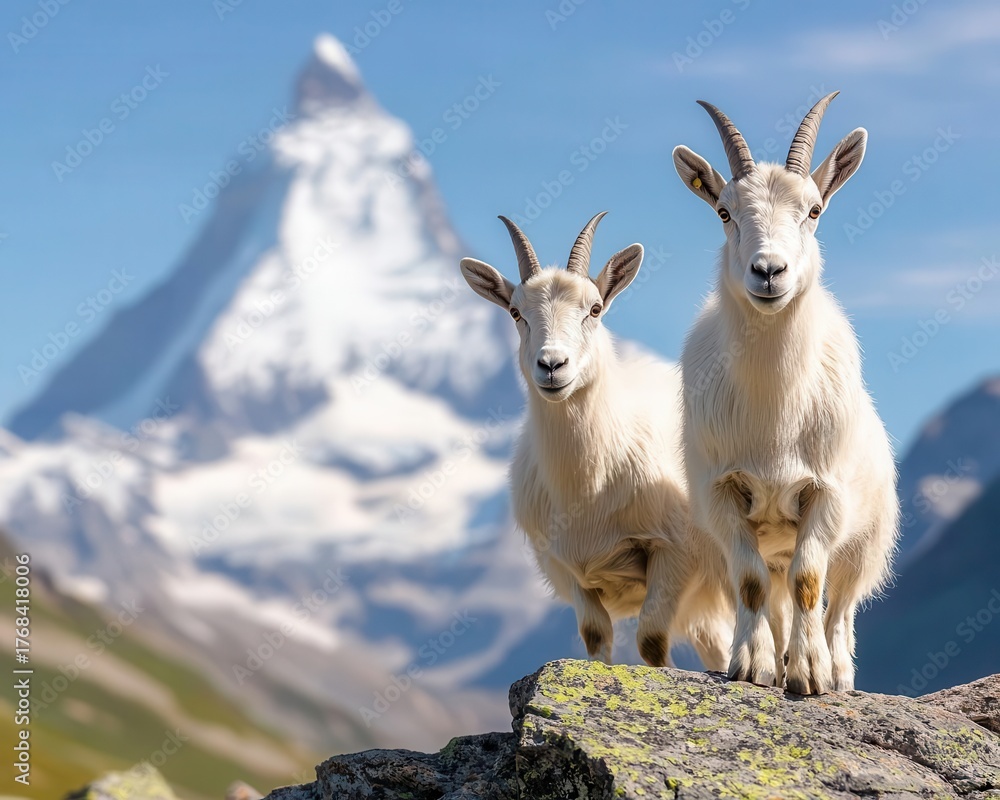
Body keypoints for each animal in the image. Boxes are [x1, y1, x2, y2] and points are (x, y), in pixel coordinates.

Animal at [460, 213, 732, 668]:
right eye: (515, 312)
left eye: (595, 309)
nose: (552, 365)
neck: (589, 487)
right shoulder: (569, 570)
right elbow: (595, 640)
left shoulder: (675, 552)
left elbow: (652, 641)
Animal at [671, 93, 899, 694]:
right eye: (724, 212)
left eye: (815, 210)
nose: (769, 272)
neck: (774, 413)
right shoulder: (722, 493)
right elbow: (752, 583)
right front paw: (753, 666)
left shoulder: (827, 494)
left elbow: (810, 579)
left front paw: (813, 674)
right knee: (771, 592)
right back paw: (777, 658)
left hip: (868, 541)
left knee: (840, 604)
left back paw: (837, 668)